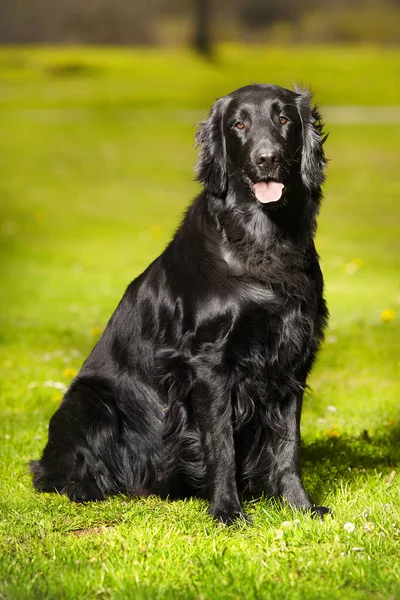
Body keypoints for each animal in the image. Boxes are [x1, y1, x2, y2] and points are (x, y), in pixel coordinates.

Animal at [31, 83, 330, 520]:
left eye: (283, 119)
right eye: (238, 124)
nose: (267, 158)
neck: (260, 242)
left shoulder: (291, 357)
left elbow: (288, 444)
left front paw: (300, 507)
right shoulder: (209, 363)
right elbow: (221, 444)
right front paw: (228, 512)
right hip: (90, 402)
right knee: (52, 474)